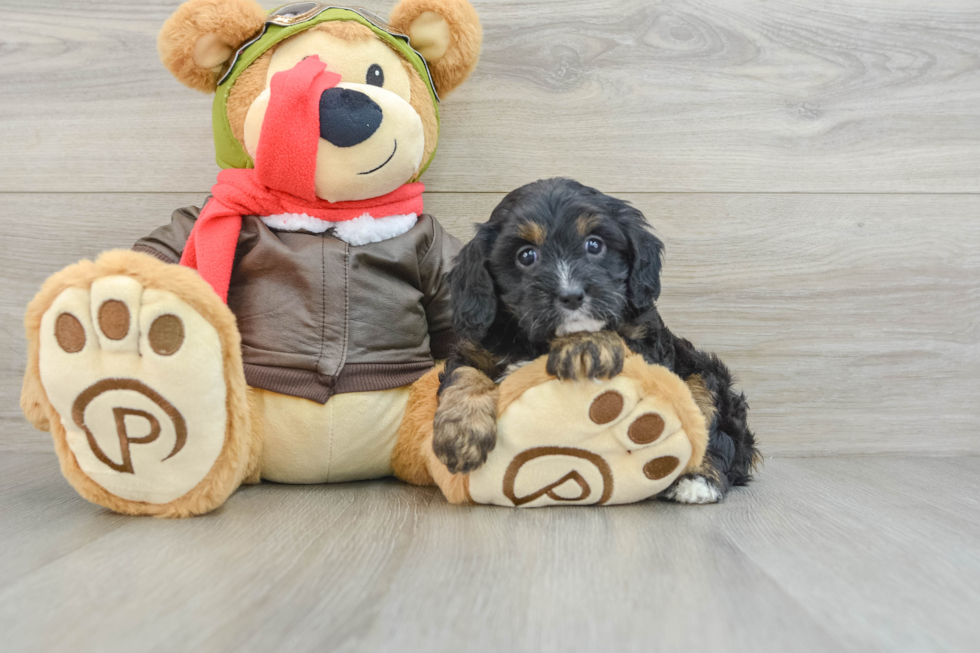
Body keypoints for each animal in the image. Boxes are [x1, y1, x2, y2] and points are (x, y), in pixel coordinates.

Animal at [432, 176, 760, 502]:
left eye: (594, 245)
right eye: (526, 255)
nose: (571, 296)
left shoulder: (647, 347)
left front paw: (583, 346)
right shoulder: (475, 347)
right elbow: (464, 373)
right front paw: (459, 436)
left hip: (703, 375)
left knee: (711, 424)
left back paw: (698, 481)